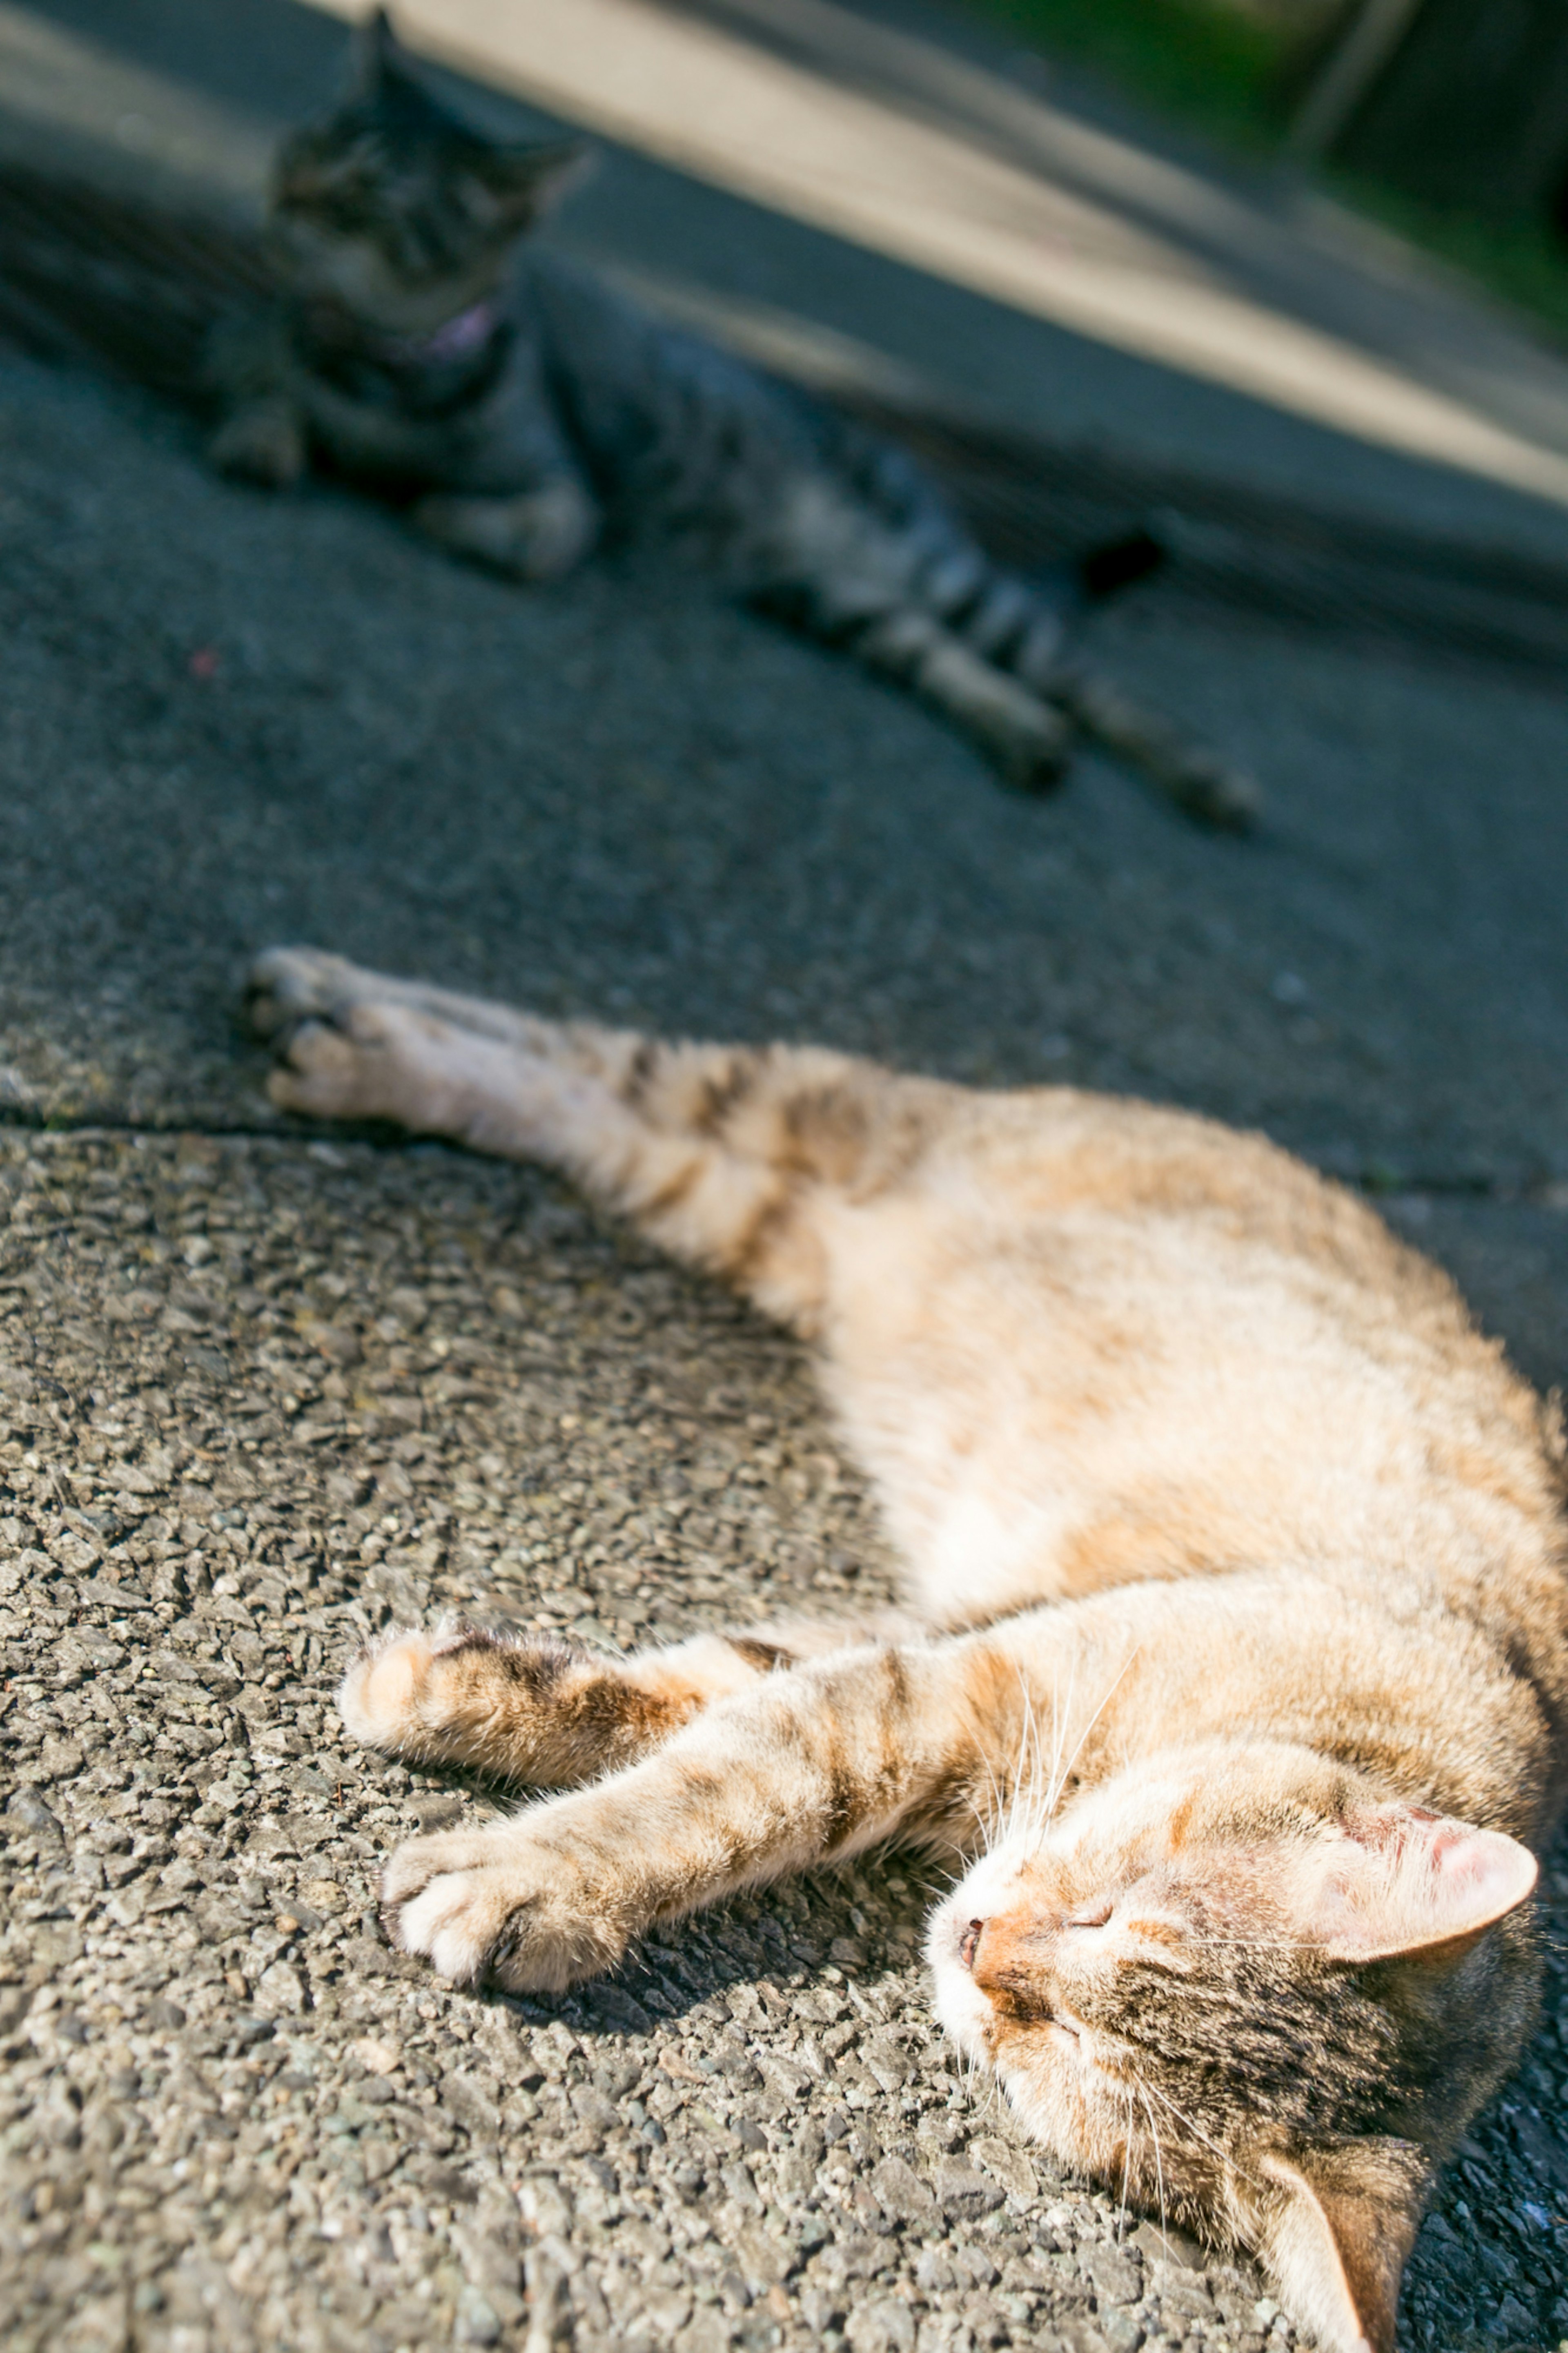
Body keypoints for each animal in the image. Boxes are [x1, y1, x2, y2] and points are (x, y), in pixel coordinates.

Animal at [208, 11, 1260, 828]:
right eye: (300, 152)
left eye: (360, 196)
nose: (279, 203)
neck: (387, 369)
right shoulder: (254, 358)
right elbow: (266, 396)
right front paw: (267, 440)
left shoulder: (568, 485)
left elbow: (535, 536)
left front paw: (447, 512)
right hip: (840, 601)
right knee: (950, 659)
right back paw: (1021, 735)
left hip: (947, 578)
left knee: (1095, 683)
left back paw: (1206, 780)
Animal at [248, 941, 1568, 2353]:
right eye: (1114, 1910)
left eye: (1055, 2045)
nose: (984, 1947)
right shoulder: (944, 1685)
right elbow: (714, 1794)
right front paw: (528, 1864)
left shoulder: (910, 1651)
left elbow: (689, 1696)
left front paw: (466, 1709)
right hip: (829, 1115)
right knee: (593, 1054)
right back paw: (345, 1023)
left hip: (741, 1198)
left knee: (594, 1100)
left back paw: (339, 1030)